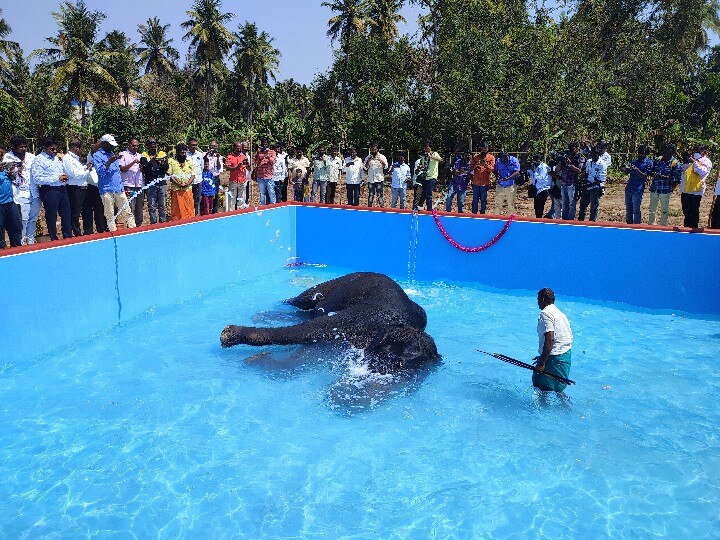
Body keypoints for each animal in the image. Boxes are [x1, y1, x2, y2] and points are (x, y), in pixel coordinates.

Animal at [222, 272, 442, 374]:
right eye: (390, 356)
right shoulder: (358, 317)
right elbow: (306, 330)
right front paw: (230, 334)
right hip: (339, 281)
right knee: (300, 301)